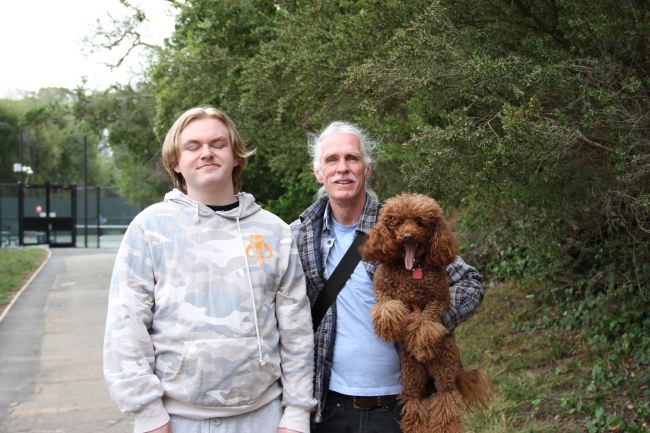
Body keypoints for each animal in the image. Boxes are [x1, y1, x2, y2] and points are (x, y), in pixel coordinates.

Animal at [360, 193, 492, 433]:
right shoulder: (383, 290)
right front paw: (389, 327)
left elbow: (426, 321)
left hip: (444, 369)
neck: (411, 269)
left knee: (446, 399)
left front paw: (422, 343)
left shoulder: (439, 298)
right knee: (414, 402)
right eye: (398, 222)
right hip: (412, 376)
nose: (408, 235)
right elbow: (387, 307)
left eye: (420, 222)